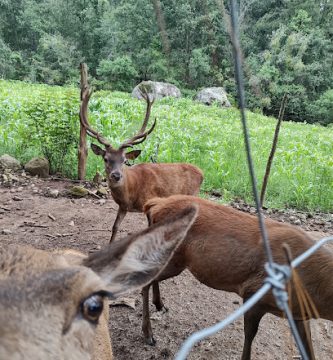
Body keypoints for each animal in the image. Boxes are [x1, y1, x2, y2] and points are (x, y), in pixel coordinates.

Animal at [80, 84, 202, 243]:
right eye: (105, 158)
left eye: (124, 160)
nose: (116, 175)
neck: (131, 192)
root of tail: (202, 173)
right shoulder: (123, 207)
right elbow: (115, 227)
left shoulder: (150, 201)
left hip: (192, 194)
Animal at [141, 195, 330, 360]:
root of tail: (153, 204)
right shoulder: (254, 292)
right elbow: (250, 334)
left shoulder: (299, 315)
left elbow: (308, 349)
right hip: (175, 260)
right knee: (146, 281)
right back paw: (148, 334)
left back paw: (159, 305)